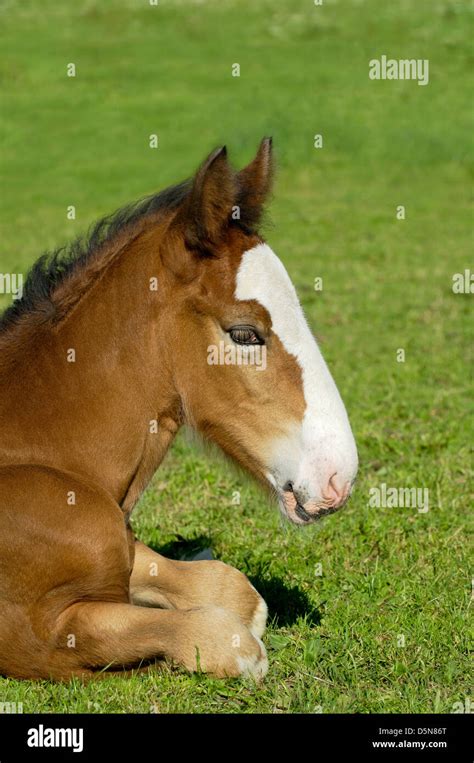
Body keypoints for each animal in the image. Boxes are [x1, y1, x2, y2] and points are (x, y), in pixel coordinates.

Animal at [0, 139, 358, 680]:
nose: (338, 476)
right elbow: (229, 640)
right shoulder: (35, 636)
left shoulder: (125, 548)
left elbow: (235, 591)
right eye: (244, 333)